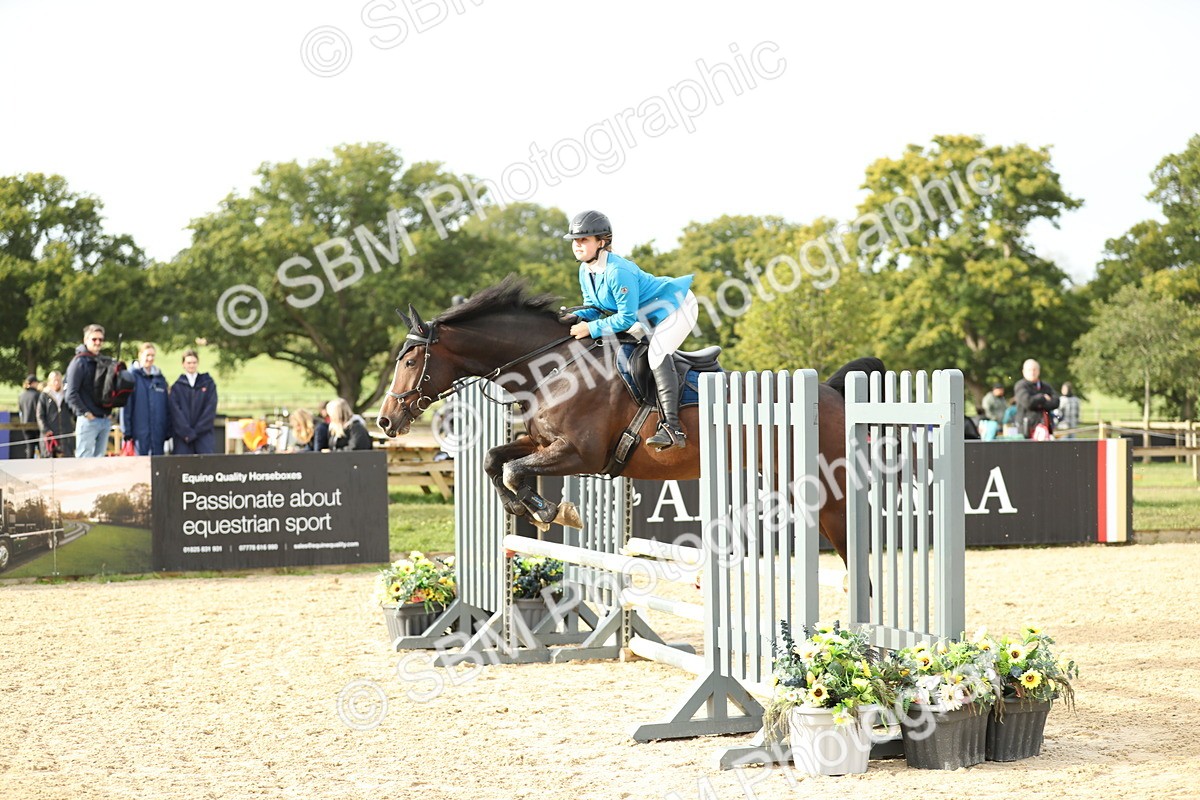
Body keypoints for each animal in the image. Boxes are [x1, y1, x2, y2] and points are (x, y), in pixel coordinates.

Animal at [376, 275, 880, 566]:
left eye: (411, 360)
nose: (385, 422)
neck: (553, 368)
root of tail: (830, 391)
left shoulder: (580, 454)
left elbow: (516, 470)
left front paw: (550, 511)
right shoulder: (542, 443)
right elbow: (493, 460)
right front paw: (522, 510)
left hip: (828, 494)